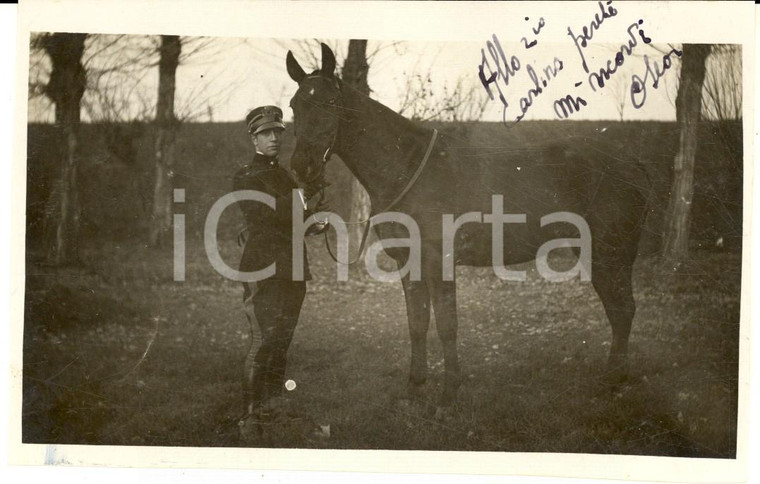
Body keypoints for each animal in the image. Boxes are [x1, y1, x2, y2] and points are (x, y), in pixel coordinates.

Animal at [284, 44, 648, 412]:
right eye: (294, 105)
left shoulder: (439, 261)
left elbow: (447, 326)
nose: (302, 167)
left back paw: (613, 381)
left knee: (622, 310)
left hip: (609, 252)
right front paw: (414, 387)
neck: (407, 167)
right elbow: (417, 324)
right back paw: (615, 378)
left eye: (330, 101)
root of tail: (631, 164)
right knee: (618, 310)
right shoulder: (408, 262)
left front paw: (448, 395)